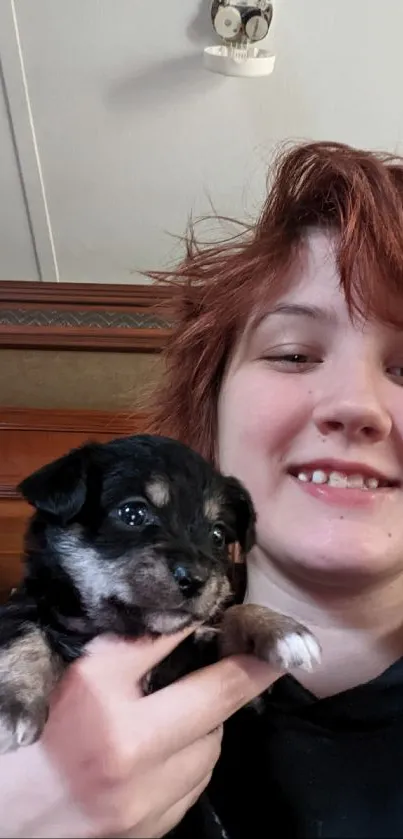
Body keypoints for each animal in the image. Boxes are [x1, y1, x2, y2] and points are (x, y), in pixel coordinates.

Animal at [0, 436, 322, 752]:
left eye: (218, 535)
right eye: (132, 513)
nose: (195, 579)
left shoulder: (226, 691)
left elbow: (229, 617)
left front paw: (280, 628)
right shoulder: (32, 604)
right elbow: (25, 633)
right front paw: (12, 705)